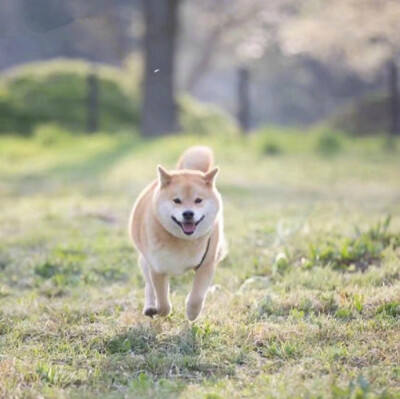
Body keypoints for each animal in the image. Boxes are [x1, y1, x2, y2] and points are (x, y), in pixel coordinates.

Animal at [130, 147, 227, 322]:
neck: (183, 241)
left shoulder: (206, 264)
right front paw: (162, 310)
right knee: (149, 286)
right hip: (145, 261)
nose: (188, 213)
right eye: (176, 200)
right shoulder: (157, 268)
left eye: (198, 200)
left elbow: (197, 296)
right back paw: (150, 307)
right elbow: (162, 300)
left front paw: (192, 312)